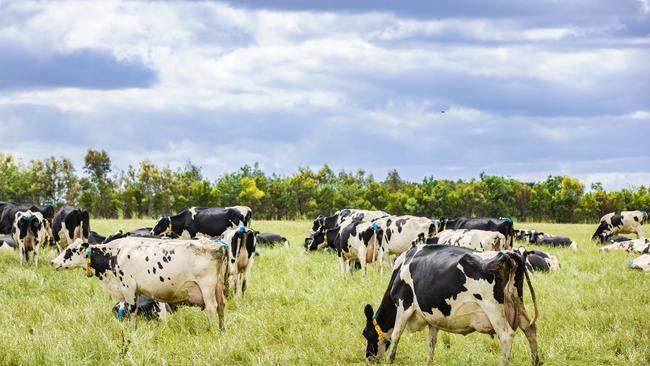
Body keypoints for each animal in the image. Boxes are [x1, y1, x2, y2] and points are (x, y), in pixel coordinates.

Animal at [51, 236, 228, 330]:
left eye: (69, 251)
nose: (53, 262)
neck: (114, 254)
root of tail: (217, 246)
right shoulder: (135, 291)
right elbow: (133, 310)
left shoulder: (128, 287)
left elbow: (131, 310)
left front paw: (132, 330)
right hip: (218, 286)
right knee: (221, 306)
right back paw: (221, 330)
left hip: (206, 286)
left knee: (211, 307)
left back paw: (209, 329)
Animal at [360, 243, 536, 366]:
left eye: (365, 333)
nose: (368, 358)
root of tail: (507, 254)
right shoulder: (433, 318)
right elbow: (431, 343)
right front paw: (429, 363)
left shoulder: (404, 306)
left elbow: (396, 336)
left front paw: (390, 361)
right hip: (518, 304)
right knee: (530, 328)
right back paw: (536, 361)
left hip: (494, 310)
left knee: (507, 336)